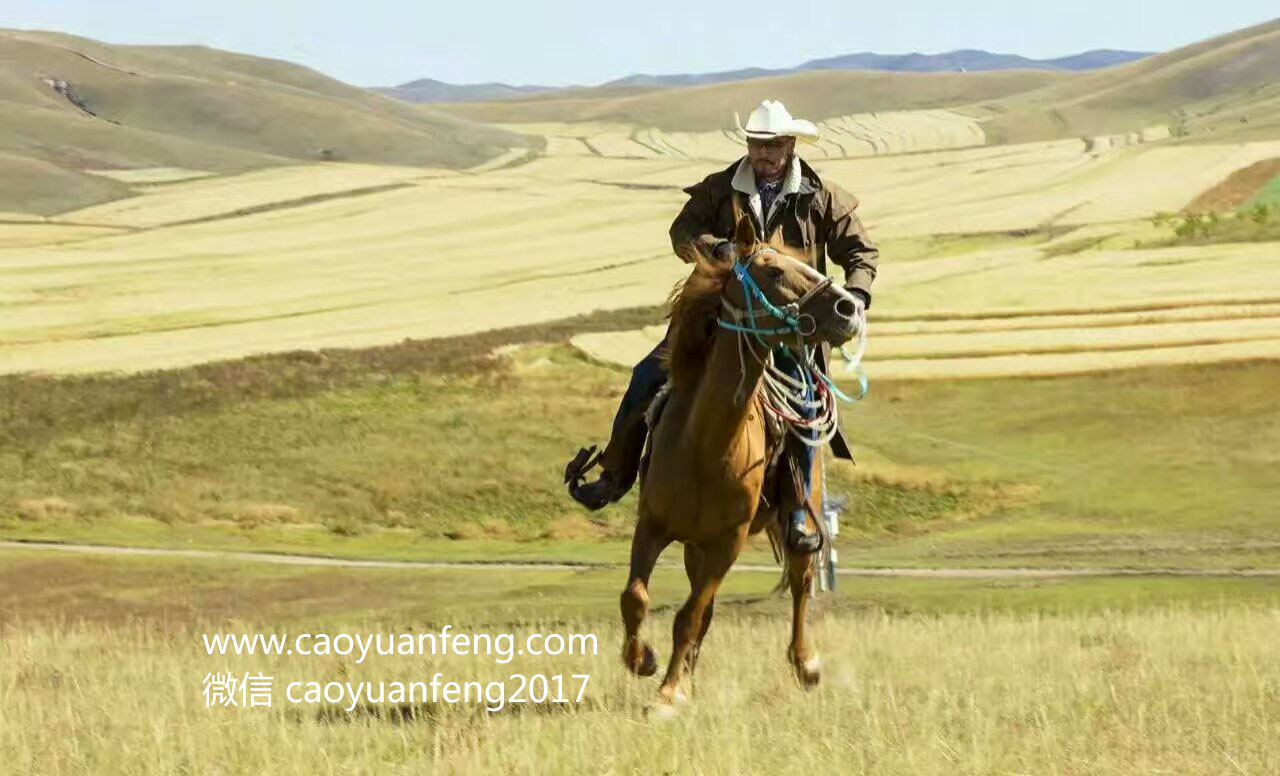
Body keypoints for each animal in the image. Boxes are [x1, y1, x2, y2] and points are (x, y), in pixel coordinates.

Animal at [619, 212, 860, 711]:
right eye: (774, 270)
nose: (849, 309)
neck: (705, 444)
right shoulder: (652, 525)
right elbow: (636, 597)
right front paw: (644, 661)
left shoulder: (726, 545)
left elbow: (688, 617)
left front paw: (669, 693)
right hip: (693, 547)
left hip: (799, 517)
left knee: (801, 583)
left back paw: (806, 663)